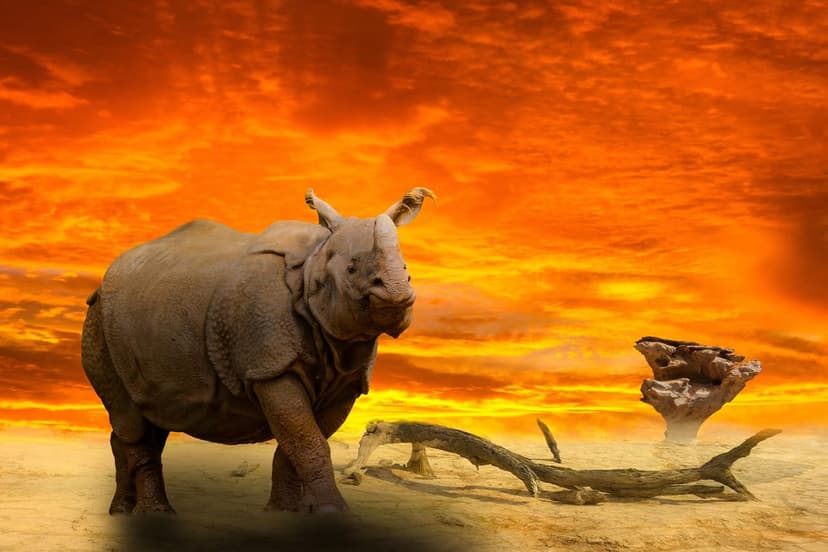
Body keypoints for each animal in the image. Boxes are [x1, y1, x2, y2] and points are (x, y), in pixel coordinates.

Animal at [81, 187, 434, 514]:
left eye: (406, 267)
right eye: (351, 269)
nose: (397, 295)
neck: (314, 265)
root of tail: (106, 277)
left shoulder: (346, 382)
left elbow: (298, 445)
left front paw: (284, 513)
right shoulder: (269, 368)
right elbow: (308, 443)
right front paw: (334, 513)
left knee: (151, 416)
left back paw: (121, 511)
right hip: (100, 322)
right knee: (132, 419)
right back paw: (156, 515)